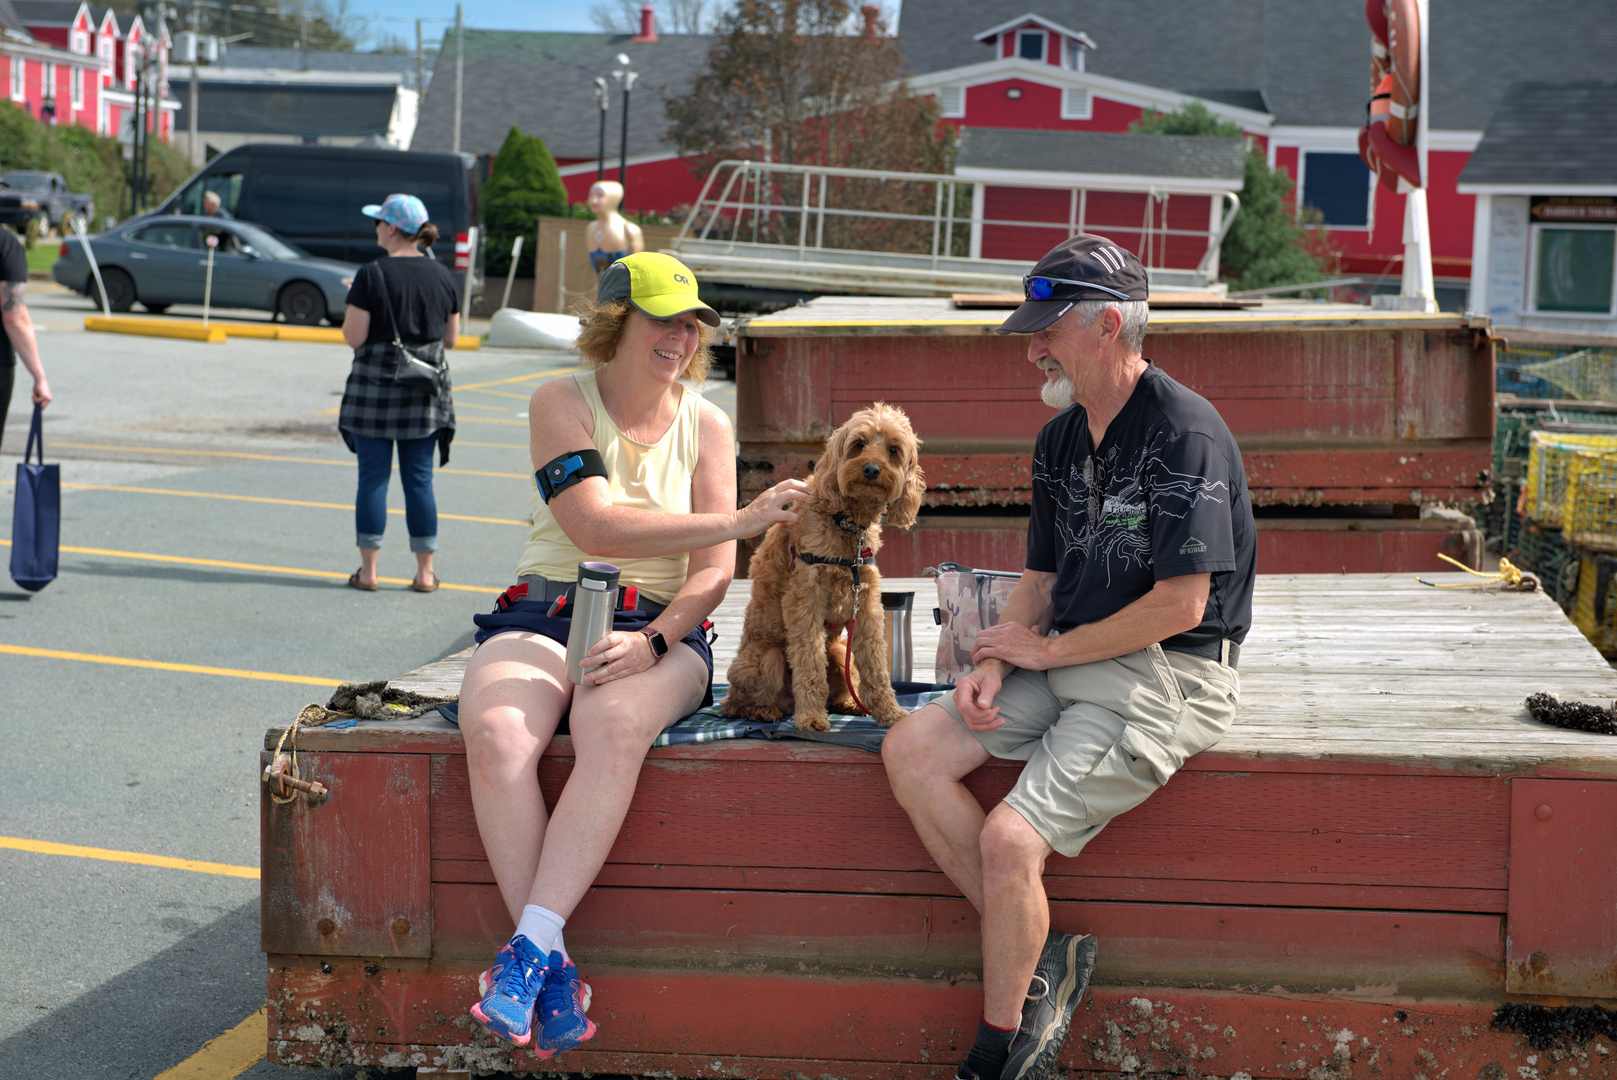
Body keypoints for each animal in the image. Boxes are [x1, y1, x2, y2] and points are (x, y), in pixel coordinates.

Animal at [721, 400, 924, 730]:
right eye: (859, 444)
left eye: (893, 449)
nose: (871, 469)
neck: (847, 524)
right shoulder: (805, 599)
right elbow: (809, 660)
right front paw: (812, 717)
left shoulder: (866, 605)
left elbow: (875, 665)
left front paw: (890, 713)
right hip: (767, 656)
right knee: (739, 704)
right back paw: (764, 711)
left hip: (841, 651)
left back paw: (850, 705)